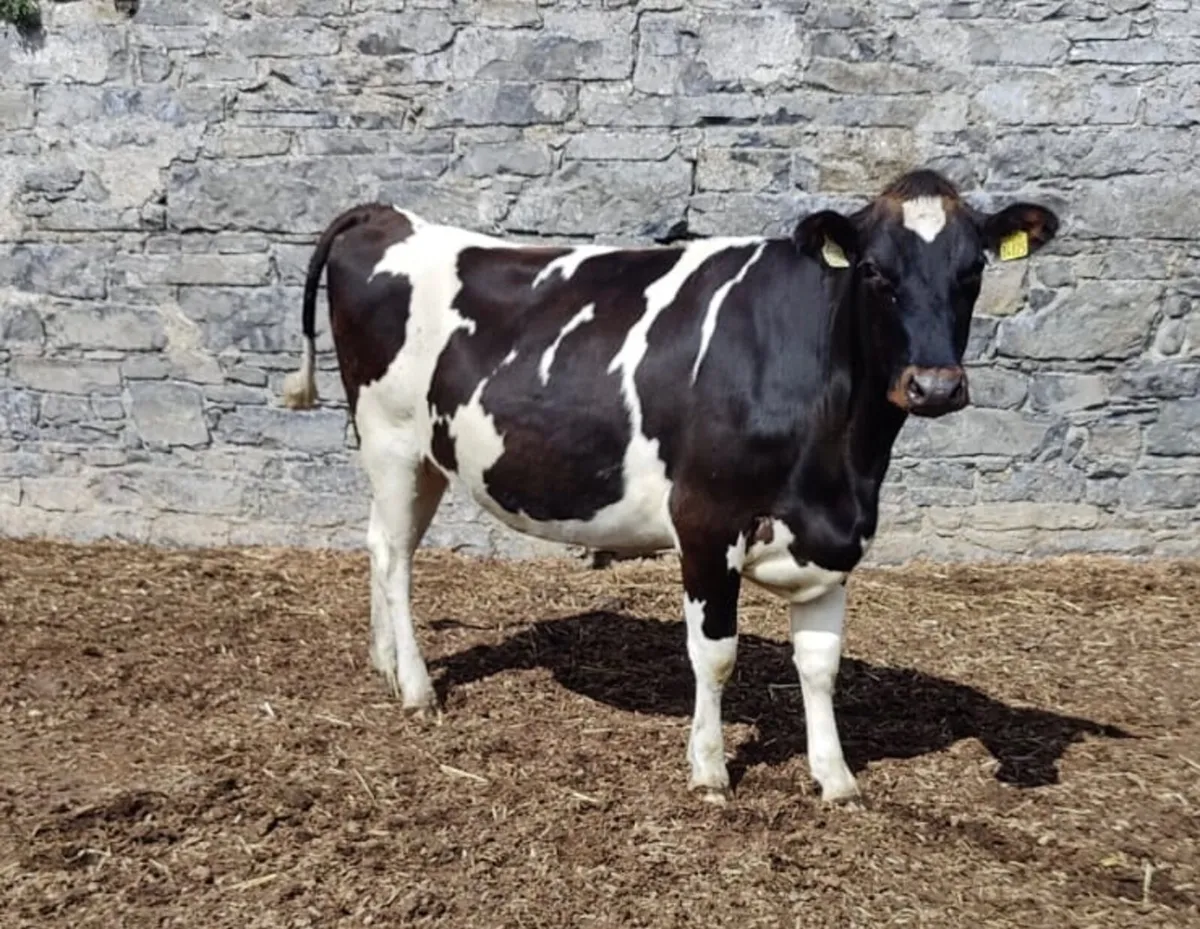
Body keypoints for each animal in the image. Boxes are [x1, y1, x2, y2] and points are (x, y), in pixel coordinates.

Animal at [281, 168, 1059, 803]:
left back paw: (384, 664)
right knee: (394, 559)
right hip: (390, 436)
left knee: (381, 542)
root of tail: (390, 216)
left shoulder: (833, 535)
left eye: (972, 268)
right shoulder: (706, 520)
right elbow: (716, 655)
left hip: (423, 457)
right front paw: (710, 769)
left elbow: (820, 664)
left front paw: (834, 776)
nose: (935, 386)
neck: (843, 459)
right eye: (873, 269)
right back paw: (416, 688)